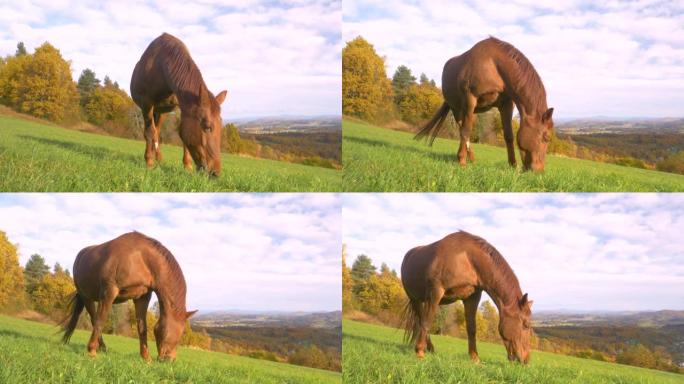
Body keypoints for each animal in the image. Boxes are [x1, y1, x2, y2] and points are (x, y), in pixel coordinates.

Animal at [61, 231, 196, 364]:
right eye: (179, 332)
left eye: (182, 333)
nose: (170, 360)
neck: (140, 259)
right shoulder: (109, 291)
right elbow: (101, 320)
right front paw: (91, 352)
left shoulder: (142, 297)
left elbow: (142, 327)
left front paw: (146, 358)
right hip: (86, 297)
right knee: (94, 319)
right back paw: (98, 347)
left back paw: (102, 348)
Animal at [132, 33, 228, 176]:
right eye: (207, 127)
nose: (215, 173)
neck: (159, 66)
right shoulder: (146, 103)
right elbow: (149, 132)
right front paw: (149, 162)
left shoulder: (181, 106)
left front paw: (187, 166)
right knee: (153, 132)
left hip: (161, 112)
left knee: (157, 131)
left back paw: (159, 158)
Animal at [400, 231, 536, 364]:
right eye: (526, 325)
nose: (526, 360)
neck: (466, 259)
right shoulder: (436, 292)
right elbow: (426, 322)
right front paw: (419, 353)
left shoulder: (472, 298)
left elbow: (471, 328)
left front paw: (475, 358)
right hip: (415, 299)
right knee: (421, 320)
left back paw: (431, 349)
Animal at [414, 36, 552, 172]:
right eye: (546, 137)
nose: (539, 170)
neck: (493, 65)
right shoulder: (470, 98)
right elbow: (466, 131)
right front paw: (462, 162)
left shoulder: (506, 104)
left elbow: (509, 136)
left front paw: (513, 165)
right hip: (457, 108)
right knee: (462, 128)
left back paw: (472, 159)